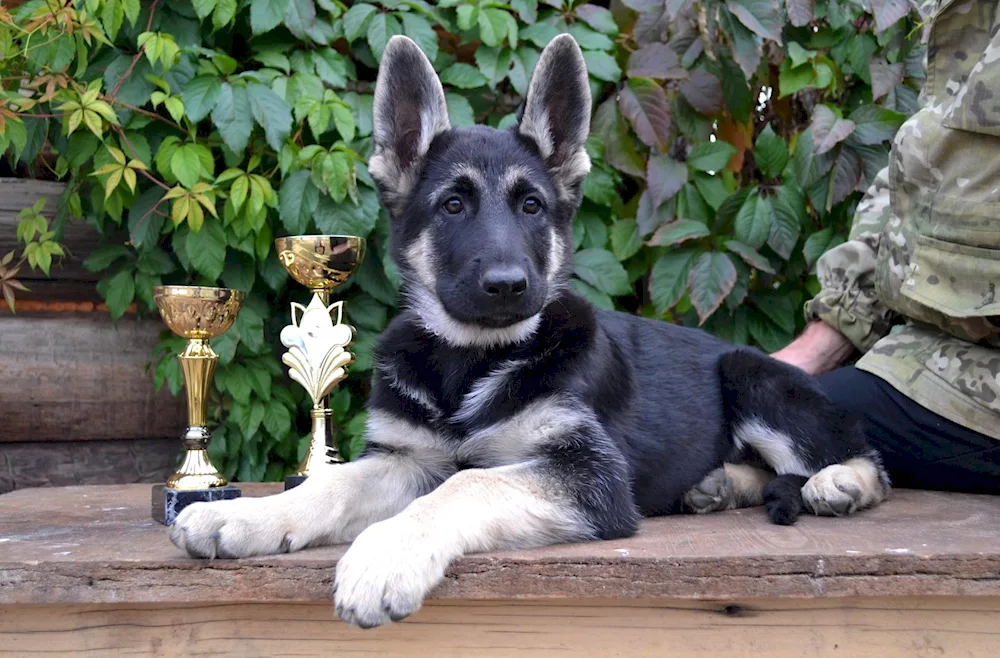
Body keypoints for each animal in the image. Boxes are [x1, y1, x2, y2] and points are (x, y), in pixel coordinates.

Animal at [168, 33, 896, 628]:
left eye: (532, 206)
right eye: (452, 205)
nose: (508, 286)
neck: (472, 360)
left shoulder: (589, 475)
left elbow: (468, 483)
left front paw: (386, 554)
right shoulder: (406, 459)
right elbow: (331, 483)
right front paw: (244, 515)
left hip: (753, 376)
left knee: (865, 459)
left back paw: (837, 485)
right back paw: (718, 486)